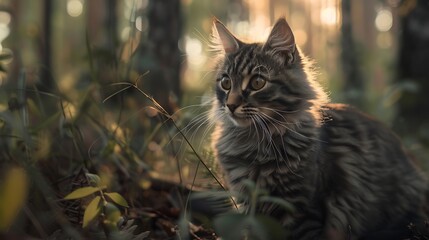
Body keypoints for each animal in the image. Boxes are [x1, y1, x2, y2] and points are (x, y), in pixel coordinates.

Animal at [209, 17, 426, 240]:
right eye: (226, 83)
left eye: (257, 82)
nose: (231, 105)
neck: (255, 141)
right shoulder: (250, 206)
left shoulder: (302, 209)